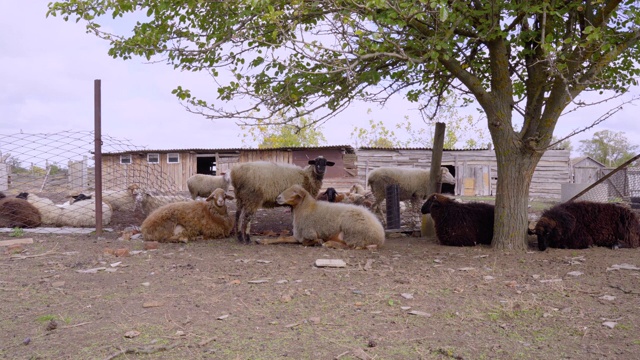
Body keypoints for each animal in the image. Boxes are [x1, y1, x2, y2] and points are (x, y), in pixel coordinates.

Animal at [256, 184, 384, 249]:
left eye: (295, 192)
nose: (278, 198)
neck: (306, 209)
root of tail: (380, 235)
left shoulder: (309, 232)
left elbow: (306, 242)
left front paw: (317, 241)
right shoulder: (298, 235)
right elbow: (281, 238)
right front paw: (263, 241)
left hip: (352, 231)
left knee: (350, 246)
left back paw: (328, 243)